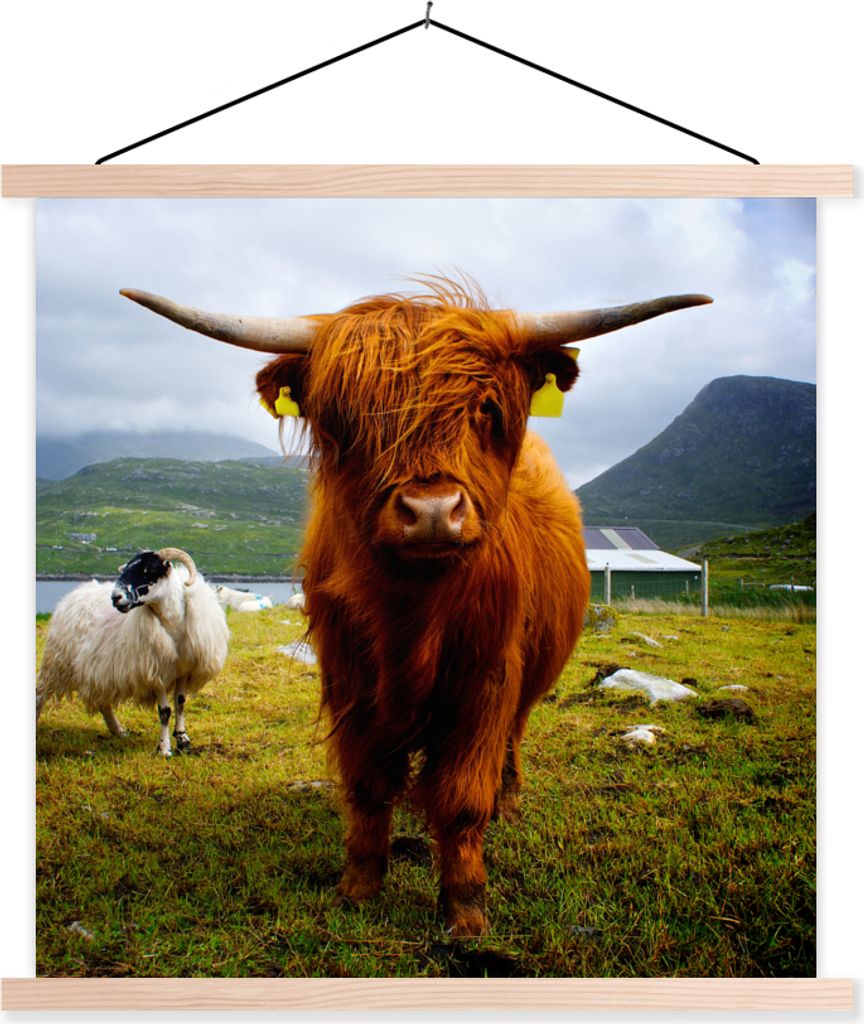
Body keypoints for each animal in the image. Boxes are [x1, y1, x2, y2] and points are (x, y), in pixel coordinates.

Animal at [36, 548, 229, 757]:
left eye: (148, 569)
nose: (116, 597)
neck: (172, 624)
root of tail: (75, 594)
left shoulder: (184, 672)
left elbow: (180, 703)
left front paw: (183, 740)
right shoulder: (156, 672)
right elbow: (165, 711)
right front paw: (164, 748)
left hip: (98, 669)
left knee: (103, 703)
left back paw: (118, 731)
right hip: (57, 663)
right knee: (40, 694)